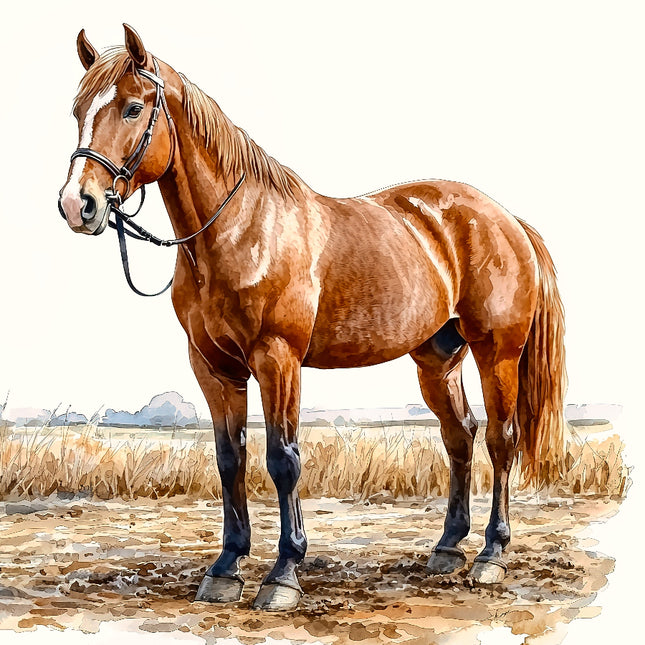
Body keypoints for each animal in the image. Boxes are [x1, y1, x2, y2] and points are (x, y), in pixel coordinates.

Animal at [58, 25, 566, 611]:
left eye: (133, 107)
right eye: (78, 109)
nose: (78, 204)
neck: (240, 228)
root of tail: (506, 219)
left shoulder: (277, 359)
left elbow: (283, 460)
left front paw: (283, 573)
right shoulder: (213, 368)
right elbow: (229, 459)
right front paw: (226, 567)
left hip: (496, 353)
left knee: (501, 440)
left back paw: (491, 554)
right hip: (437, 361)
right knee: (459, 436)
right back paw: (447, 548)